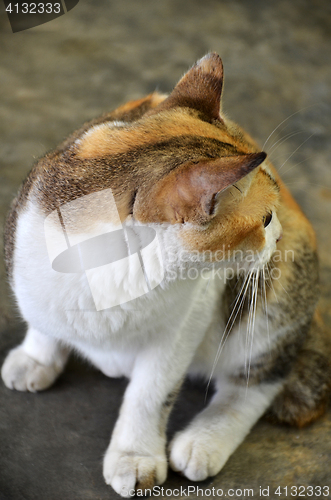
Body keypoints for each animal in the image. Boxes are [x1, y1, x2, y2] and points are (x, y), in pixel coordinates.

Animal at [1, 52, 330, 498]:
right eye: (264, 219)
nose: (277, 236)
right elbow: (42, 317)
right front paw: (37, 356)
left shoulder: (186, 322)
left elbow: (150, 392)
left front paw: (134, 455)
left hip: (277, 294)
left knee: (257, 379)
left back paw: (204, 441)